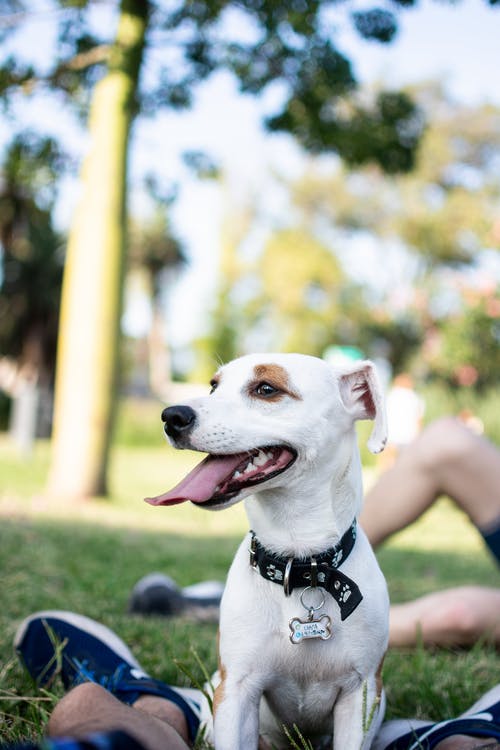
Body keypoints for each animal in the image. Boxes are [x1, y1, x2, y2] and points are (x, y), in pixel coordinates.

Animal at [147, 354, 390, 750]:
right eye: (214, 386)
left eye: (266, 389)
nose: (172, 415)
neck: (300, 563)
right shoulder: (236, 691)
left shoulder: (361, 695)